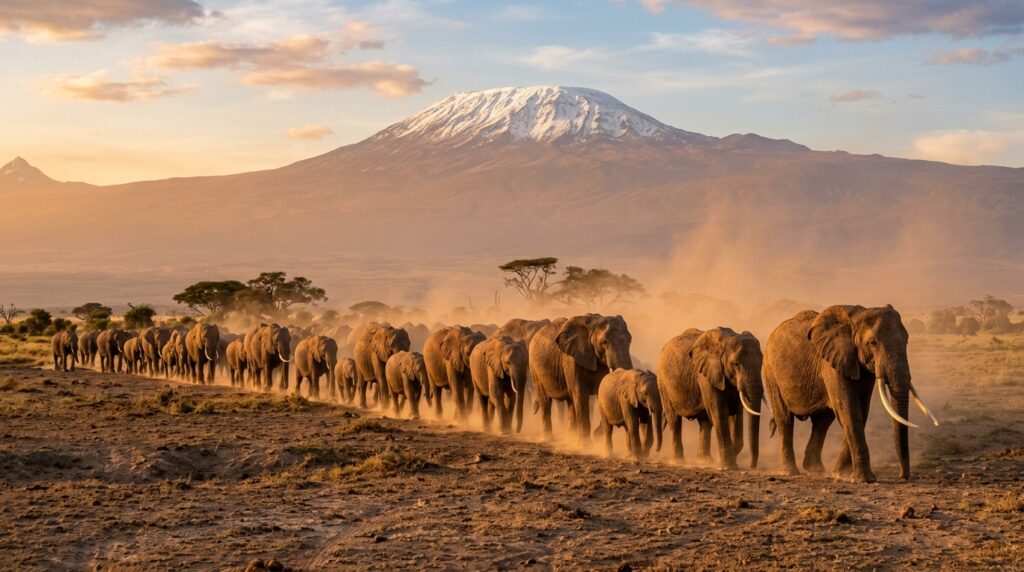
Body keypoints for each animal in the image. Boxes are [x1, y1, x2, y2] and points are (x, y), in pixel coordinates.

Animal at [529, 314, 633, 443]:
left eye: (630, 340)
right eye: (604, 342)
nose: (595, 434)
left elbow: (598, 391)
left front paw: (594, 437)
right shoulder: (571, 360)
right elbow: (580, 394)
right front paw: (586, 444)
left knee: (570, 402)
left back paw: (570, 438)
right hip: (534, 367)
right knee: (545, 401)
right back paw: (548, 438)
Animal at [657, 328, 765, 470]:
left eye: (762, 362)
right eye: (736, 364)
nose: (752, 466)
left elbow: (736, 414)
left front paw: (724, 463)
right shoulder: (705, 375)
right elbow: (720, 413)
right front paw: (728, 467)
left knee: (705, 422)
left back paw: (705, 462)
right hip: (663, 382)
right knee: (674, 420)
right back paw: (679, 462)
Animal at [763, 305, 939, 483]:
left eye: (907, 340)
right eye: (873, 343)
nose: (902, 476)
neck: (856, 318)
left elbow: (861, 409)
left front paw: (841, 474)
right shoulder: (832, 363)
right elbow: (849, 409)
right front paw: (865, 479)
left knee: (822, 421)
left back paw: (814, 469)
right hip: (770, 371)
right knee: (785, 419)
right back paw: (790, 472)